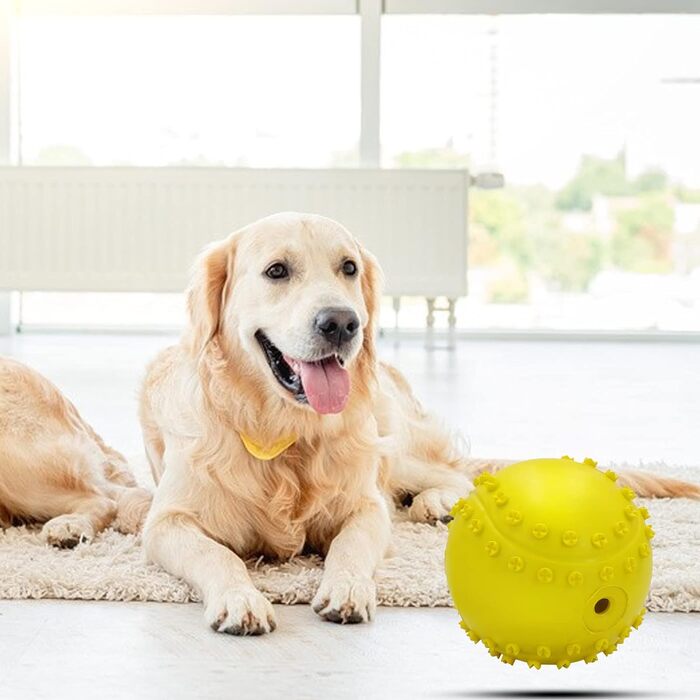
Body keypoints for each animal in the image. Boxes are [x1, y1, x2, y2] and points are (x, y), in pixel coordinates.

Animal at [139, 212, 696, 636]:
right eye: (276, 271)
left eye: (348, 267)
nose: (342, 323)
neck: (286, 433)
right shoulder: (166, 523)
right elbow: (217, 555)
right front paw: (241, 599)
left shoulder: (366, 505)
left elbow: (351, 542)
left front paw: (346, 587)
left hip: (389, 443)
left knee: (454, 477)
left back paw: (440, 504)